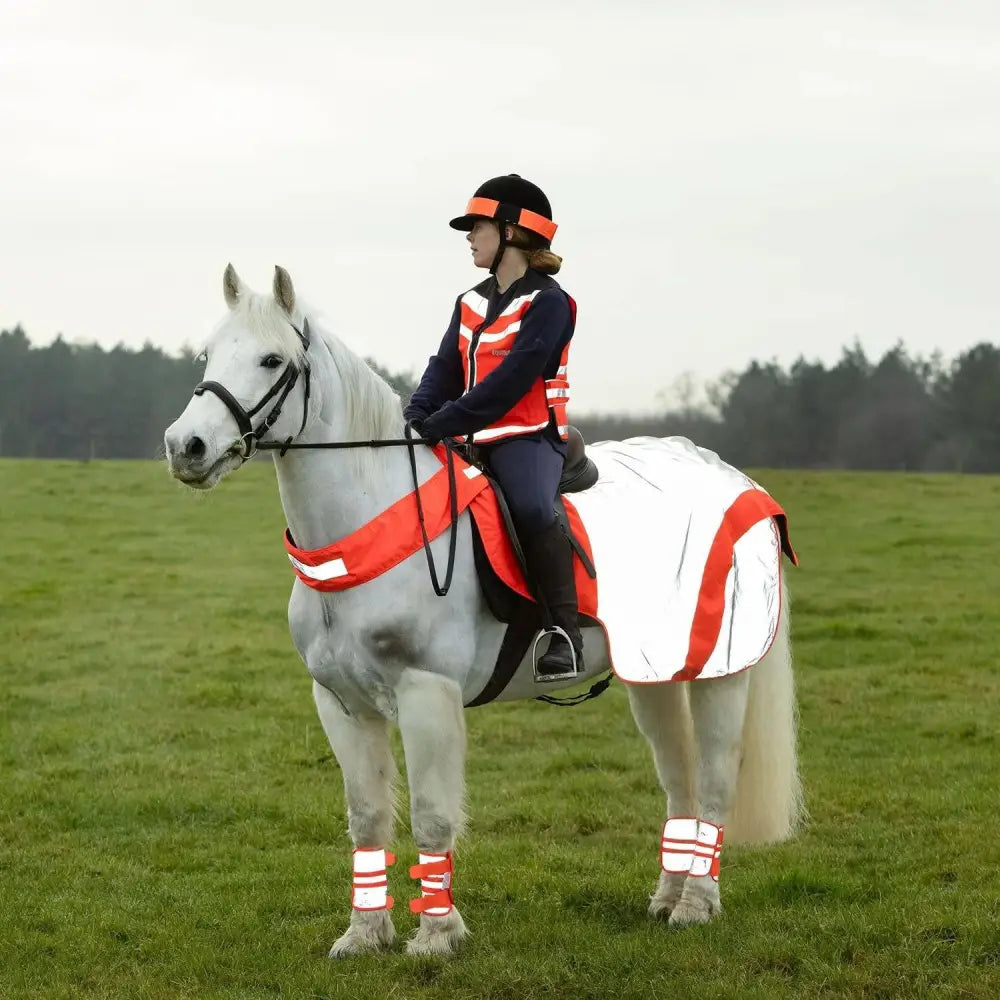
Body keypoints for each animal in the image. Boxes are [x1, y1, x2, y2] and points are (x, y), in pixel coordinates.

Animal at [164, 266, 804, 960]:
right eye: (207, 354)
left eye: (273, 359)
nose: (185, 446)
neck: (367, 522)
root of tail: (734, 479)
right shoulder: (341, 704)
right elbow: (367, 817)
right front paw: (364, 934)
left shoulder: (427, 694)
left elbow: (432, 816)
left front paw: (436, 938)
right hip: (655, 677)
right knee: (679, 778)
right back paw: (666, 898)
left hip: (720, 673)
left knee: (713, 781)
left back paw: (695, 906)